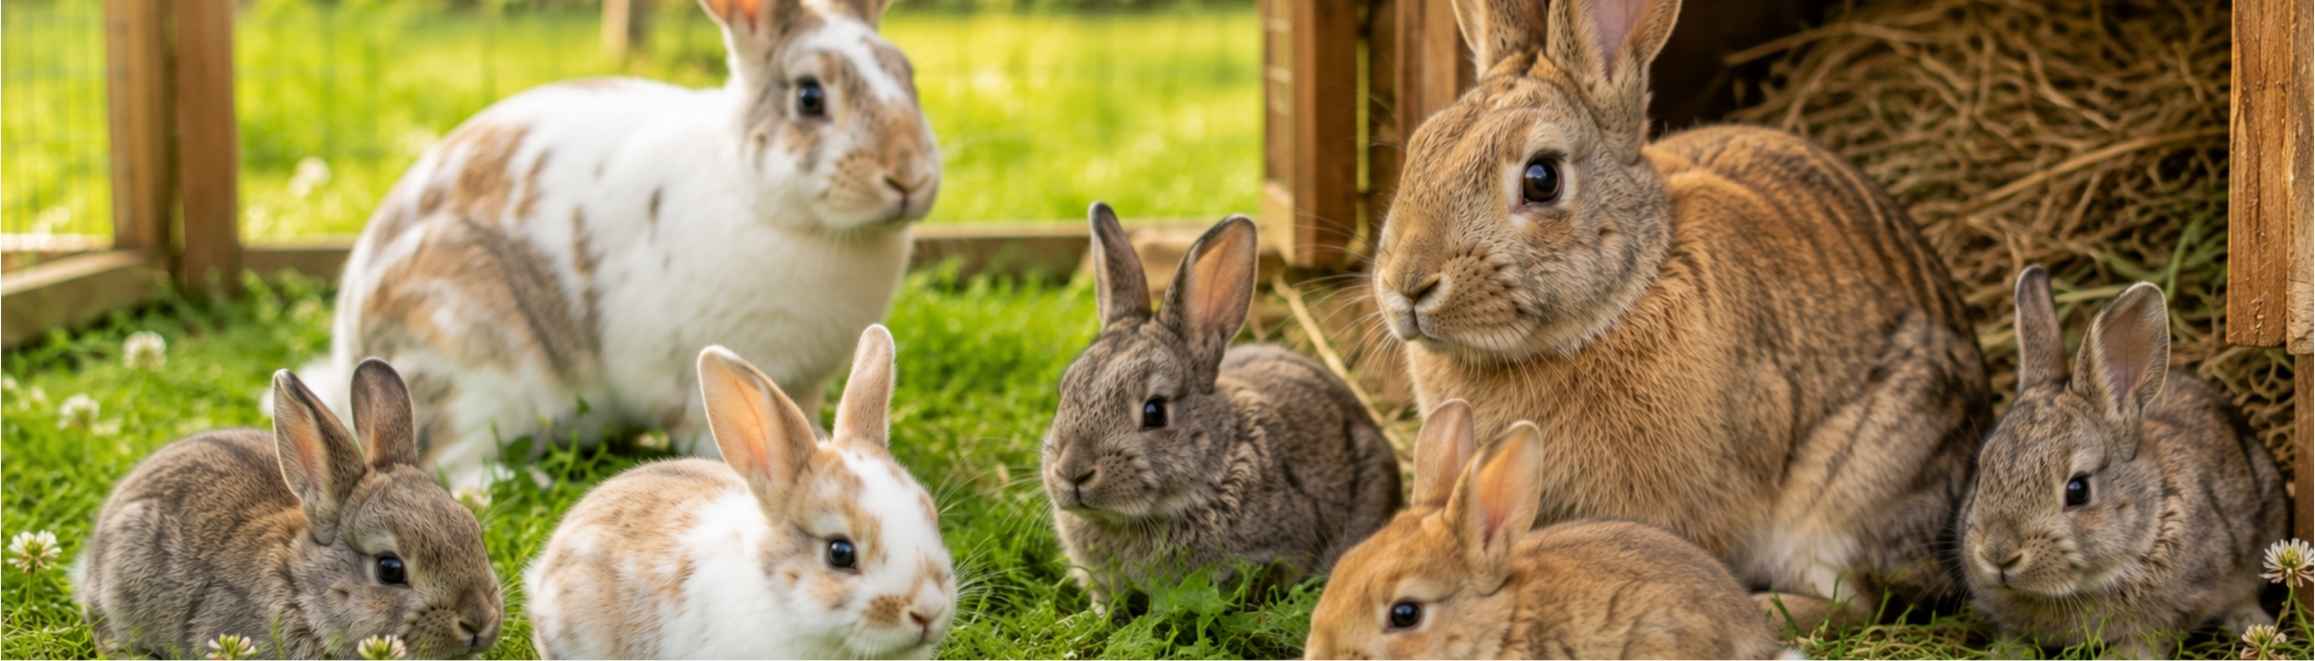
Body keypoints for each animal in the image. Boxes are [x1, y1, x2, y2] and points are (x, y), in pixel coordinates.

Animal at [300, 0, 940, 492]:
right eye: (810, 97)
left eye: (909, 76)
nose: (908, 177)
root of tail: (349, 345)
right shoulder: (699, 381)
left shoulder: (804, 385)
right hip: (466, 357)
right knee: (452, 459)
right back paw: (519, 483)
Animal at [1368, 0, 1992, 628]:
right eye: (1419, 148)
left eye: (1542, 179)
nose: (1407, 286)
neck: (1623, 298)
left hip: (1853, 490)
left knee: (1859, 601)